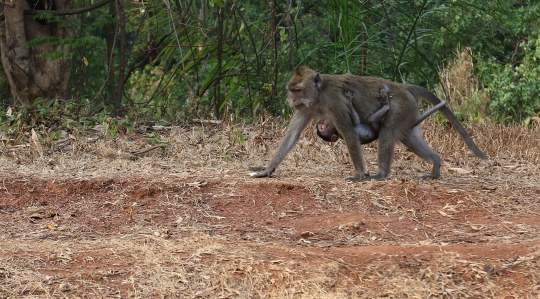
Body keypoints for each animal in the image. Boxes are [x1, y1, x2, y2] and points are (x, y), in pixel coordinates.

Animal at [252, 66, 486, 182]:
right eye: (291, 90)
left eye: (298, 90)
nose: (292, 100)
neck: (320, 93)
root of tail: (403, 87)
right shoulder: (307, 108)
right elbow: (292, 135)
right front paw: (267, 169)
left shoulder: (334, 103)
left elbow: (348, 132)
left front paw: (358, 175)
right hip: (408, 112)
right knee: (408, 138)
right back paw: (435, 166)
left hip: (400, 106)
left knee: (387, 131)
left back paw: (381, 174)